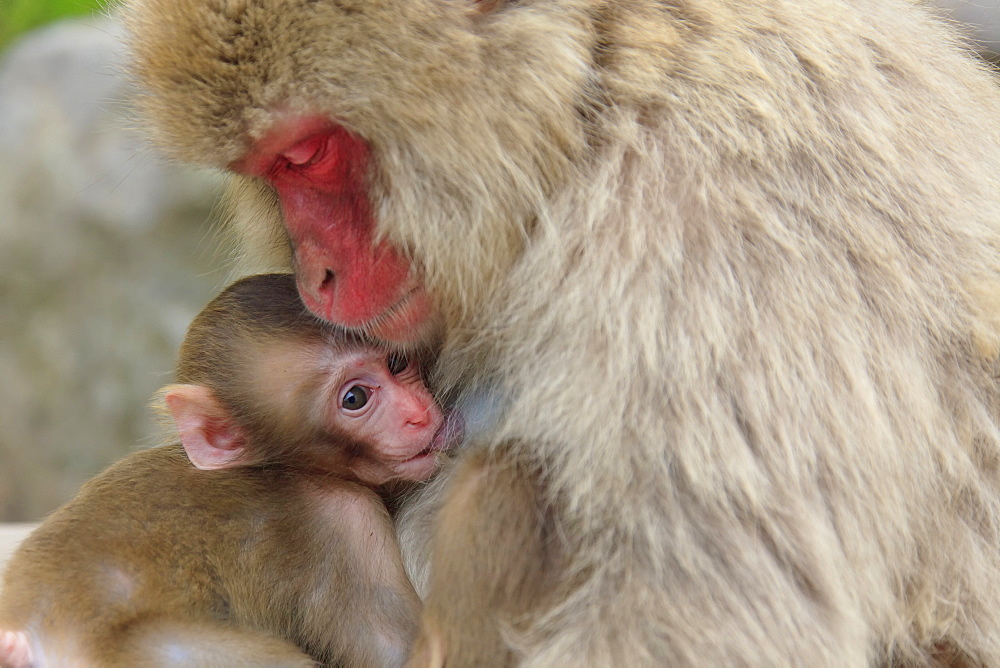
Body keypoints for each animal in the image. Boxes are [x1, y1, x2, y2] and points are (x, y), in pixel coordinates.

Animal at [0, 272, 460, 668]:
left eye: (397, 363)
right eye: (355, 398)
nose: (417, 415)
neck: (283, 467)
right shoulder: (345, 520)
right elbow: (401, 653)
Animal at [121, 0, 1000, 664]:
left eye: (307, 155)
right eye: (270, 172)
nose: (319, 272)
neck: (594, 111)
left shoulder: (707, 223)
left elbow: (707, 616)